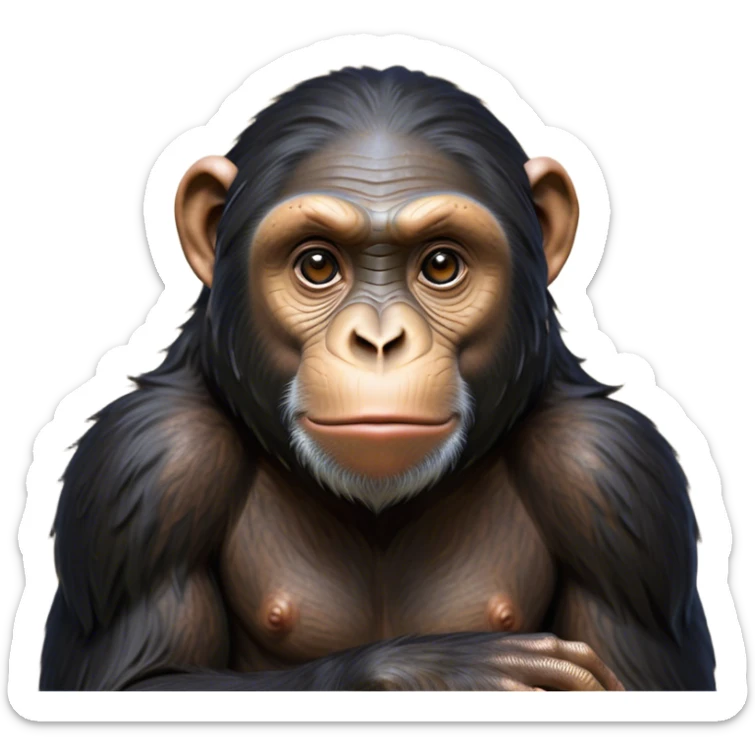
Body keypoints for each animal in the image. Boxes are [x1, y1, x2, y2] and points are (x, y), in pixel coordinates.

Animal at [40, 66, 715, 691]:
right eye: (317, 264)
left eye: (441, 264)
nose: (380, 341)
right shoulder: (147, 465)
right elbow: (140, 681)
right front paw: (444, 671)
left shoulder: (614, 477)